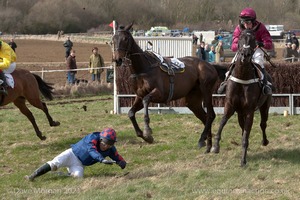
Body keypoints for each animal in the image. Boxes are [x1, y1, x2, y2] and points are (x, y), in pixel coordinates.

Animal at [211, 28, 272, 166]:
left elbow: (247, 132)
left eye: (254, 39)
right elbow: (222, 122)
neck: (243, 76)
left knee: (263, 123)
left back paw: (265, 141)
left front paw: (243, 160)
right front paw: (215, 146)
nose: (245, 54)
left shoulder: (249, 110)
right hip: (240, 112)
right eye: (239, 38)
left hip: (265, 106)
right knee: (243, 125)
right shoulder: (230, 105)